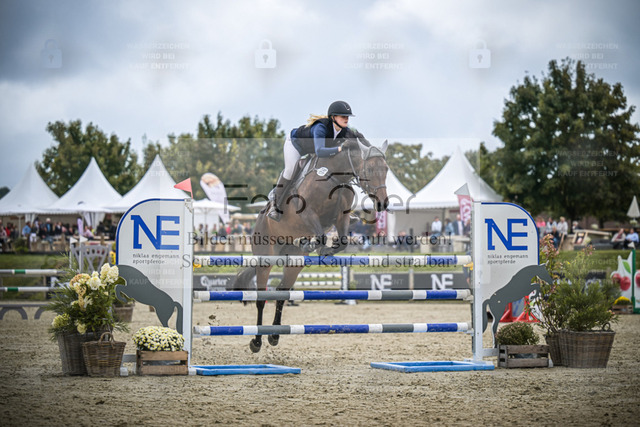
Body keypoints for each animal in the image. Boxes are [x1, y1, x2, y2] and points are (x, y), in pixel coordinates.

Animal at [232, 138, 390, 353]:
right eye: (371, 169)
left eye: (386, 169)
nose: (383, 203)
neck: (335, 177)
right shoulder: (308, 214)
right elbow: (322, 236)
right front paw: (314, 245)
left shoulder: (341, 217)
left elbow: (342, 240)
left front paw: (323, 249)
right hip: (265, 256)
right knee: (261, 298)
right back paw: (256, 341)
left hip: (294, 262)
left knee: (281, 293)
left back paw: (274, 336)